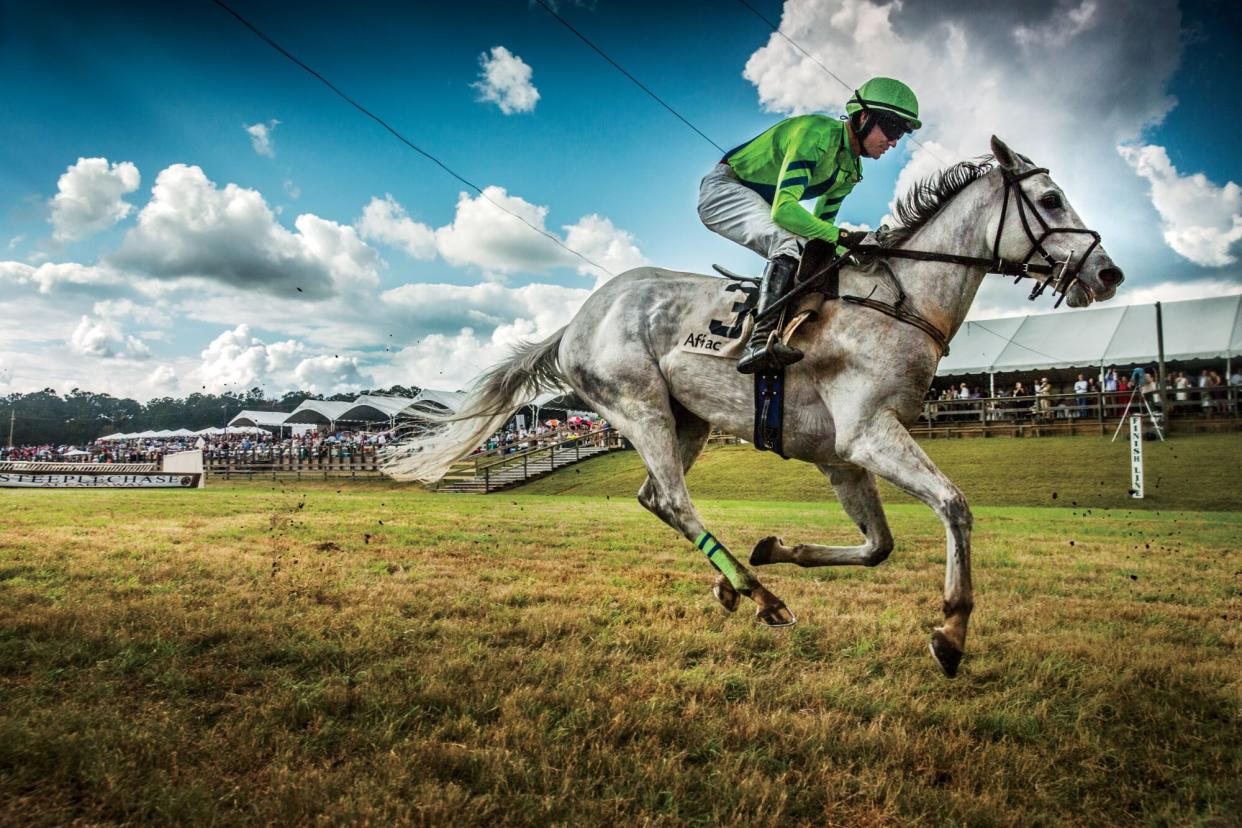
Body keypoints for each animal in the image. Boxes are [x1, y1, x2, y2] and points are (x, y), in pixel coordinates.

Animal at [385, 137, 1127, 680]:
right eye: (1051, 198)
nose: (1108, 272)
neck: (901, 300)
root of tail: (574, 324)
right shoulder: (868, 434)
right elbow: (954, 505)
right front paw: (951, 631)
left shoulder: (841, 457)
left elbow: (878, 546)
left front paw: (774, 548)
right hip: (639, 404)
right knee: (674, 500)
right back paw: (763, 598)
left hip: (685, 421)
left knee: (655, 498)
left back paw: (736, 583)